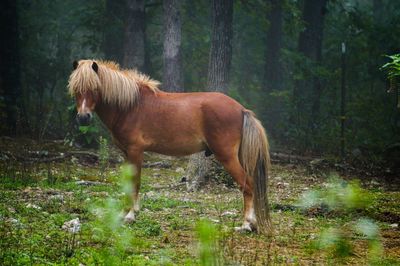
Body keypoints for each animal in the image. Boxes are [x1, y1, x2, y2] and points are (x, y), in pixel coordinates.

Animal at [68, 59, 272, 234]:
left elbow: (135, 183)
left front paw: (130, 215)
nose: (83, 117)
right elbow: (128, 184)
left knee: (247, 185)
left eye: (94, 88)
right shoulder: (126, 153)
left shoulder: (135, 151)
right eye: (76, 89)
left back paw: (246, 225)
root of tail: (241, 109)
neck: (130, 106)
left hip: (227, 156)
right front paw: (125, 212)